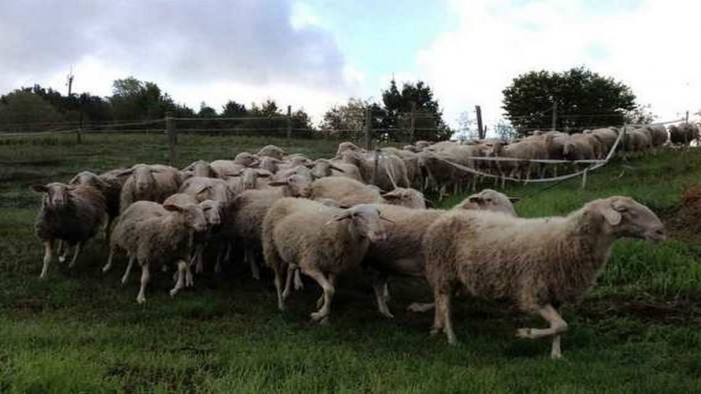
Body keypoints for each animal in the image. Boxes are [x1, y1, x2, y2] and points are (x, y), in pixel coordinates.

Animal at [424, 195, 664, 358]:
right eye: (623, 209)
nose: (661, 231)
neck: (566, 240)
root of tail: (450, 213)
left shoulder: (557, 292)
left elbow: (560, 326)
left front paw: (556, 355)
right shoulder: (534, 293)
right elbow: (561, 325)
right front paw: (525, 333)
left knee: (443, 303)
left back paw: (440, 330)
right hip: (443, 271)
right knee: (444, 305)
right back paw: (452, 338)